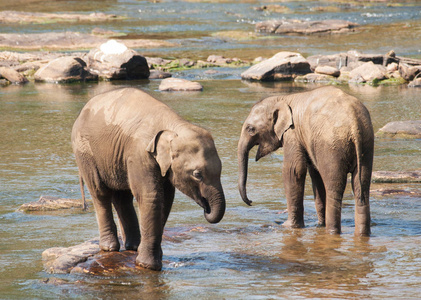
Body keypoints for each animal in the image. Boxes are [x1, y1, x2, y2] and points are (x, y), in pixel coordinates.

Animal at [70, 87, 225, 272]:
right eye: (197, 174)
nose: (206, 208)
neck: (173, 125)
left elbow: (165, 199)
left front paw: (151, 259)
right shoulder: (139, 154)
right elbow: (151, 196)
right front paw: (147, 265)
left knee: (122, 197)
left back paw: (133, 246)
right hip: (85, 151)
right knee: (100, 193)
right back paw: (110, 247)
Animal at [238, 86, 372, 237]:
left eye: (250, 129)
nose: (250, 201)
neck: (283, 99)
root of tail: (354, 123)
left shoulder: (292, 133)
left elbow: (293, 170)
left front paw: (288, 226)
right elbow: (315, 173)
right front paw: (319, 224)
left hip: (331, 146)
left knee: (334, 187)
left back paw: (332, 232)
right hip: (366, 145)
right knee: (362, 186)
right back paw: (361, 235)